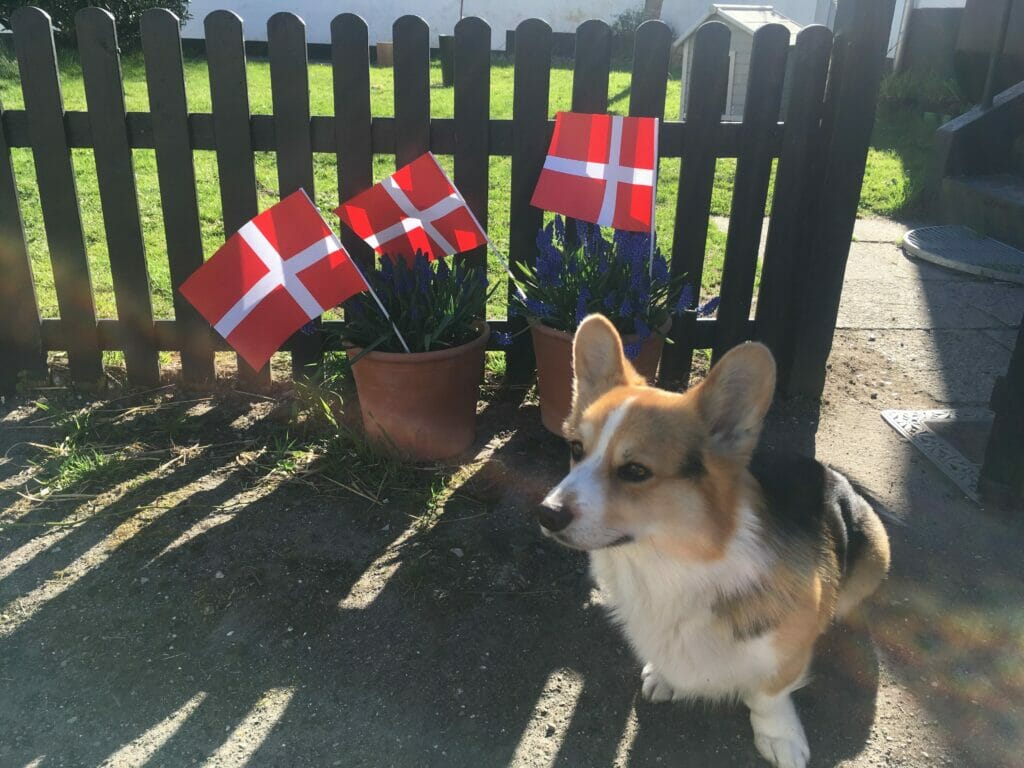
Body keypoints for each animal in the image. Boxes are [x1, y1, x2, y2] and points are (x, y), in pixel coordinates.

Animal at [536, 313, 888, 768]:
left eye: (635, 471)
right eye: (576, 449)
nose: (546, 513)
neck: (667, 563)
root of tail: (834, 474)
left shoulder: (787, 649)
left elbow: (768, 695)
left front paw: (780, 736)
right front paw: (663, 674)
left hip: (877, 554)